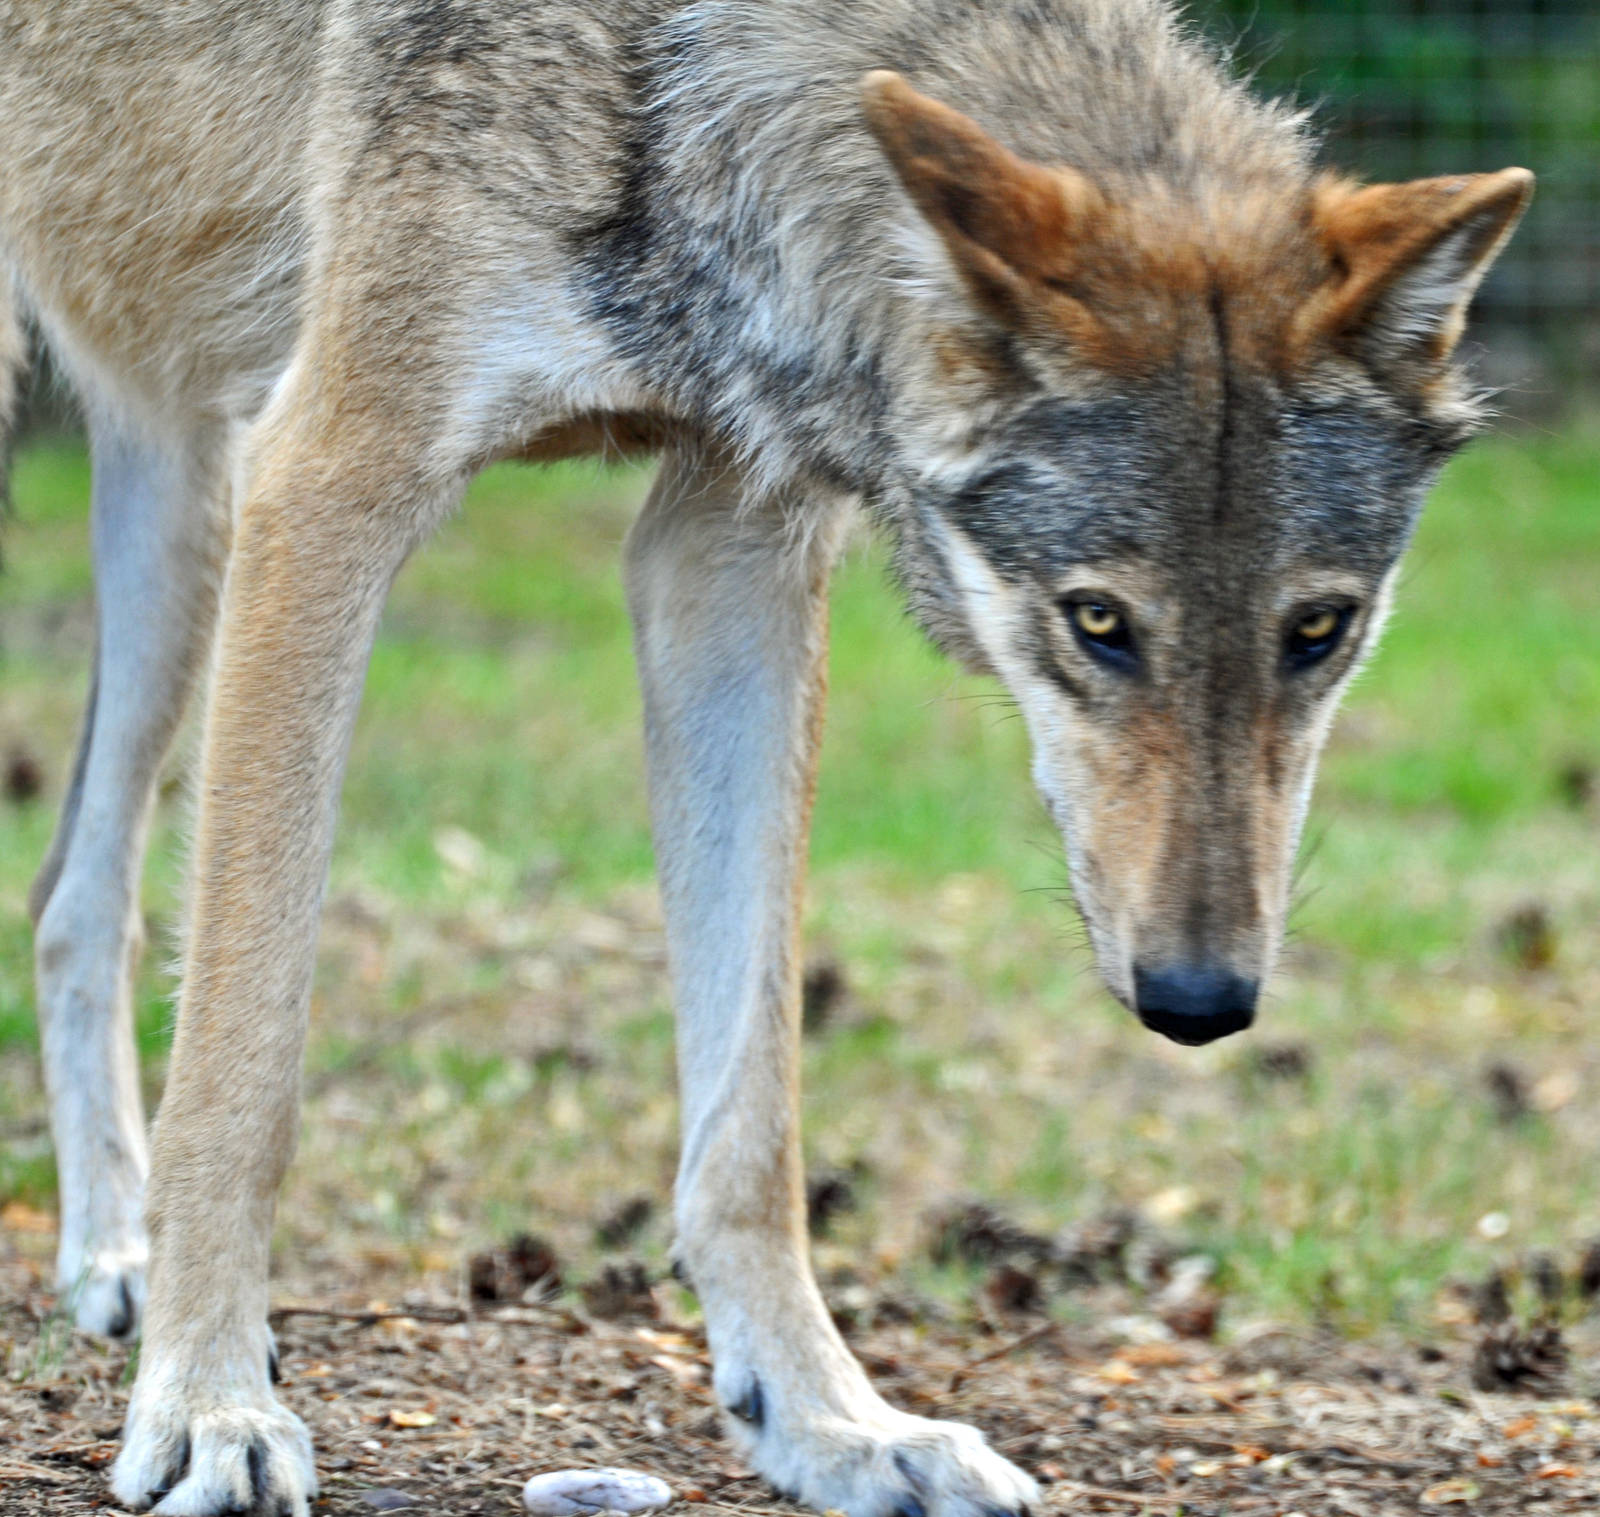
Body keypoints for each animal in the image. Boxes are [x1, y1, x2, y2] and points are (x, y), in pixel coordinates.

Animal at [0, 0, 1529, 1512]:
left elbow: (752, 1117)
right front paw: (210, 1404)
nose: (1203, 1000)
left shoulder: (727, 541)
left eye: (1318, 629)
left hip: (183, 498)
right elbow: (243, 1065)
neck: (668, 84)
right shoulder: (326, 481)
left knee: (72, 895)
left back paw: (110, 1255)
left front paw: (829, 1422)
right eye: (1098, 621)